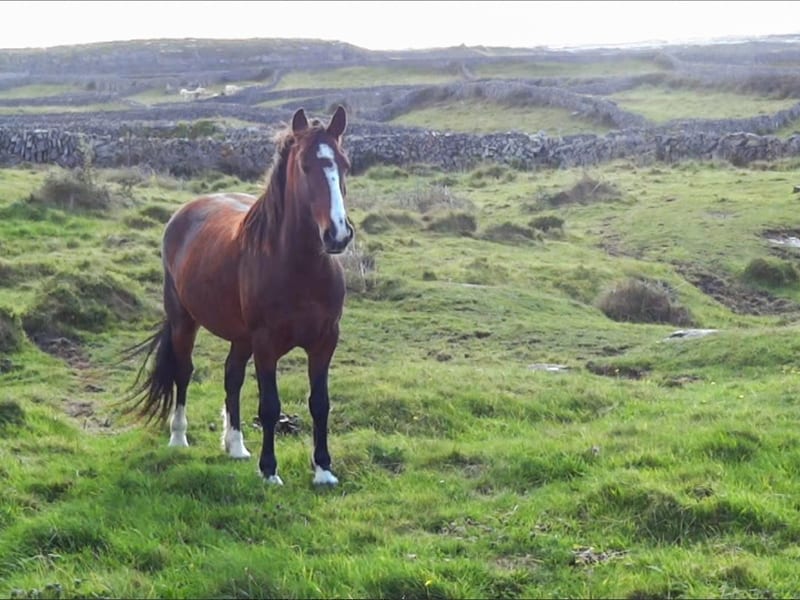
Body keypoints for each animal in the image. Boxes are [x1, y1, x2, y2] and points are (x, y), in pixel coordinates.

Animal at [124, 105, 354, 486]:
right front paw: (270, 471)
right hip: (184, 321)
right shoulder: (265, 343)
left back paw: (235, 446)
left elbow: (320, 403)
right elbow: (270, 406)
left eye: (345, 164)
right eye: (305, 165)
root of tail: (184, 213)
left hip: (240, 336)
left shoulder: (325, 340)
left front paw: (323, 470)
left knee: (231, 376)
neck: (299, 269)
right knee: (183, 372)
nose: (337, 234)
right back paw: (178, 438)